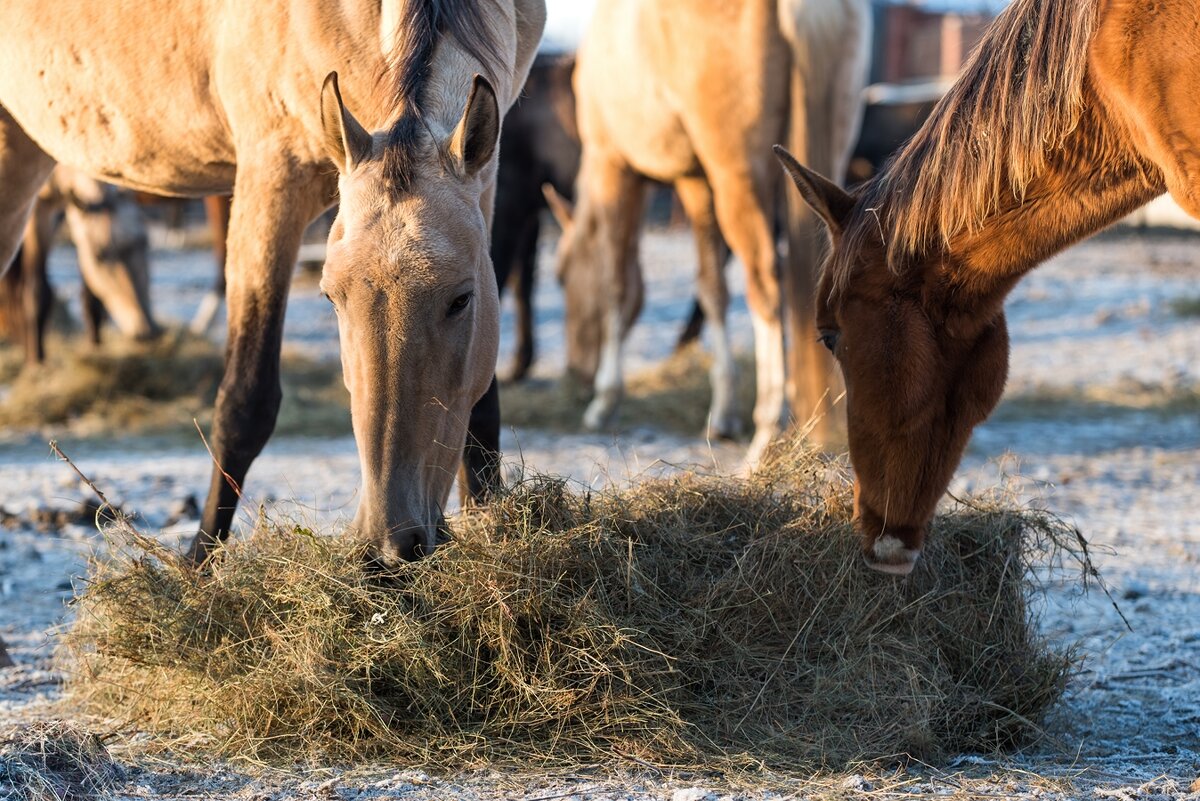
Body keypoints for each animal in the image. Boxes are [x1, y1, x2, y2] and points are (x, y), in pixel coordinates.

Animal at [0, 166, 157, 366]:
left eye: (145, 242)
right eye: (100, 255)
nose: (147, 331)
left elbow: (92, 300)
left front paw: (95, 348)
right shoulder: (38, 210)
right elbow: (37, 293)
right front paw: (37, 363)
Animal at [549, 0, 868, 462]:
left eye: (561, 277)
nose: (574, 371)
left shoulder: (615, 167)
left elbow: (616, 285)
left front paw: (605, 401)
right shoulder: (695, 181)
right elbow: (712, 289)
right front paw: (723, 414)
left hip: (738, 178)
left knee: (765, 288)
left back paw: (765, 434)